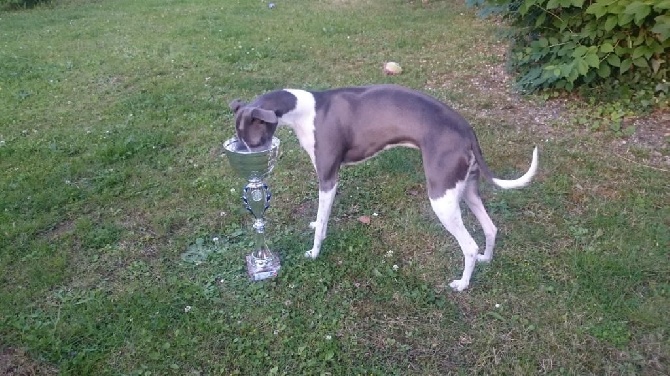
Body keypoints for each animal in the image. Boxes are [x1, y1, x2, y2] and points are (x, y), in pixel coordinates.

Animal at [231, 84, 540, 290]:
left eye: (253, 141)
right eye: (241, 140)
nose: (246, 157)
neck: (305, 110)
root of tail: (466, 130)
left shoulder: (328, 178)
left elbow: (321, 221)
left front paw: (314, 252)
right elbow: (321, 219)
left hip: (441, 197)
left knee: (470, 246)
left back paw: (462, 284)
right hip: (466, 189)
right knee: (490, 227)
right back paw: (488, 258)